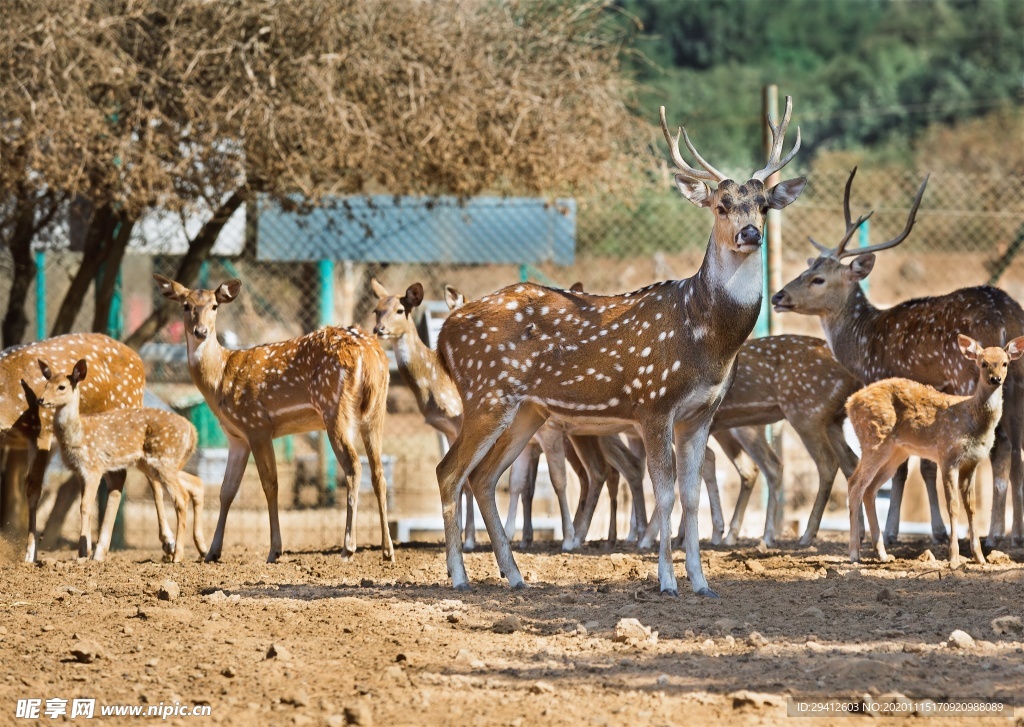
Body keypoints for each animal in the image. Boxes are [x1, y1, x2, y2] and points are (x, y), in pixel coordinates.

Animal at [36, 358, 207, 565]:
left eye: (61, 386)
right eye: (46, 384)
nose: (40, 400)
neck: (78, 433)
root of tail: (192, 430)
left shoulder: (93, 467)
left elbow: (85, 507)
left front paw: (83, 554)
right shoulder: (79, 472)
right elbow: (85, 507)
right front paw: (85, 552)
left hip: (163, 460)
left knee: (181, 497)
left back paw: (178, 555)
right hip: (154, 464)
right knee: (196, 483)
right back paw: (201, 549)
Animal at [153, 274, 393, 565]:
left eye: (214, 306)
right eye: (186, 305)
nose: (201, 331)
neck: (220, 380)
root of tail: (370, 356)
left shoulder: (257, 425)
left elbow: (271, 485)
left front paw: (274, 550)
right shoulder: (237, 437)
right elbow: (226, 490)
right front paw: (212, 552)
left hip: (335, 410)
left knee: (354, 467)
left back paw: (348, 548)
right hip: (375, 412)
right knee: (378, 472)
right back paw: (388, 550)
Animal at [434, 98, 806, 597]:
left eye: (763, 205)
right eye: (721, 205)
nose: (750, 233)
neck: (706, 339)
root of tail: (443, 332)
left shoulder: (701, 412)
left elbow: (691, 494)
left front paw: (702, 582)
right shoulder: (653, 403)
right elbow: (664, 493)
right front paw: (667, 581)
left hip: (527, 409)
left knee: (483, 477)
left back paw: (515, 575)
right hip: (486, 393)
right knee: (450, 471)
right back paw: (458, 577)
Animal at [843, 335, 1019, 569]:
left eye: (1005, 363)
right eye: (983, 363)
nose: (995, 379)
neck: (972, 421)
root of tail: (850, 403)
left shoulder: (972, 463)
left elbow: (972, 507)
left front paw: (980, 558)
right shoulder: (947, 455)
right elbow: (953, 506)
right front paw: (954, 559)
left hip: (896, 451)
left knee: (870, 489)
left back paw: (882, 554)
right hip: (874, 439)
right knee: (855, 484)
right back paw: (854, 554)